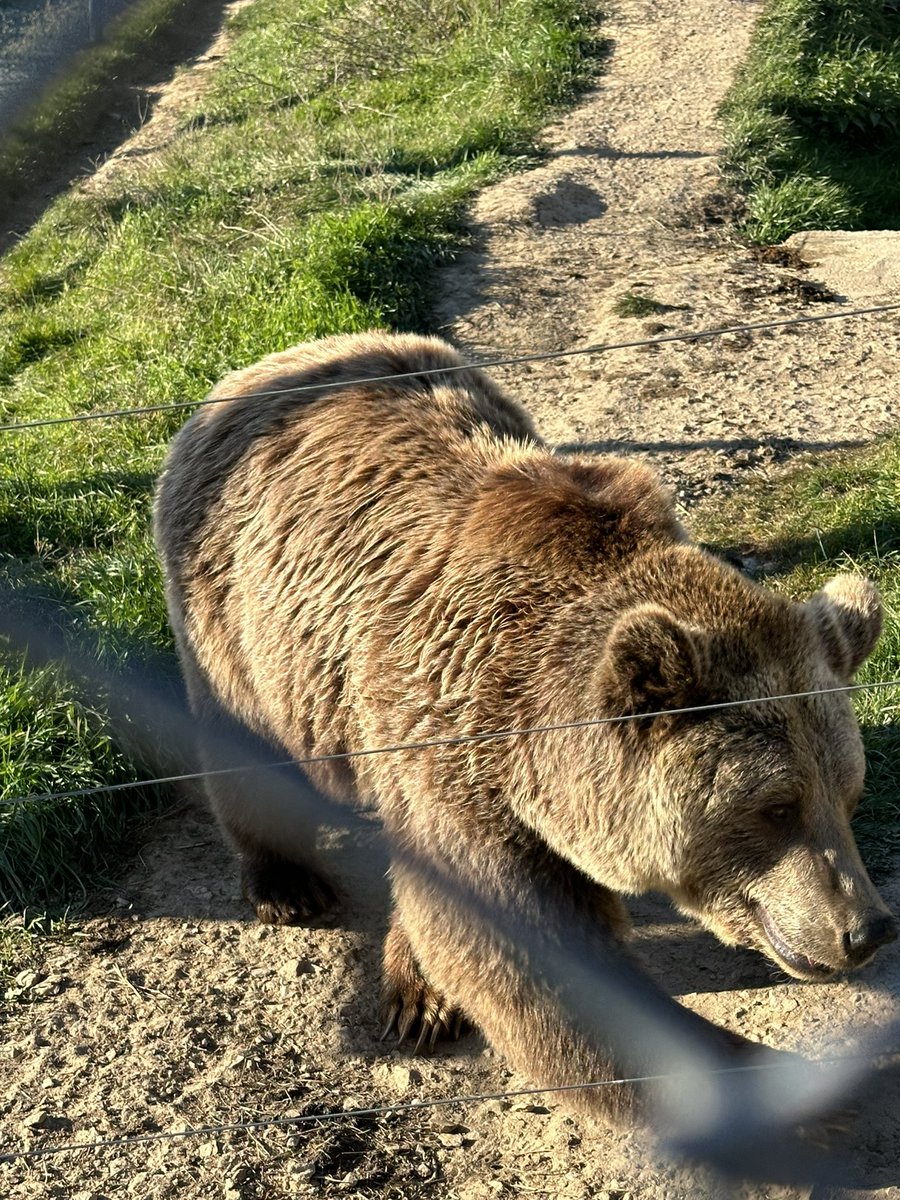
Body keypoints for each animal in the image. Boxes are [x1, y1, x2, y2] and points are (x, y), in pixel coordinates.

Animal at [153, 329, 896, 1124]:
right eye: (775, 807)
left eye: (849, 792)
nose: (865, 928)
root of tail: (280, 356)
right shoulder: (459, 747)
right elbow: (529, 956)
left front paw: (425, 992)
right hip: (237, 619)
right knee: (246, 751)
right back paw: (289, 885)